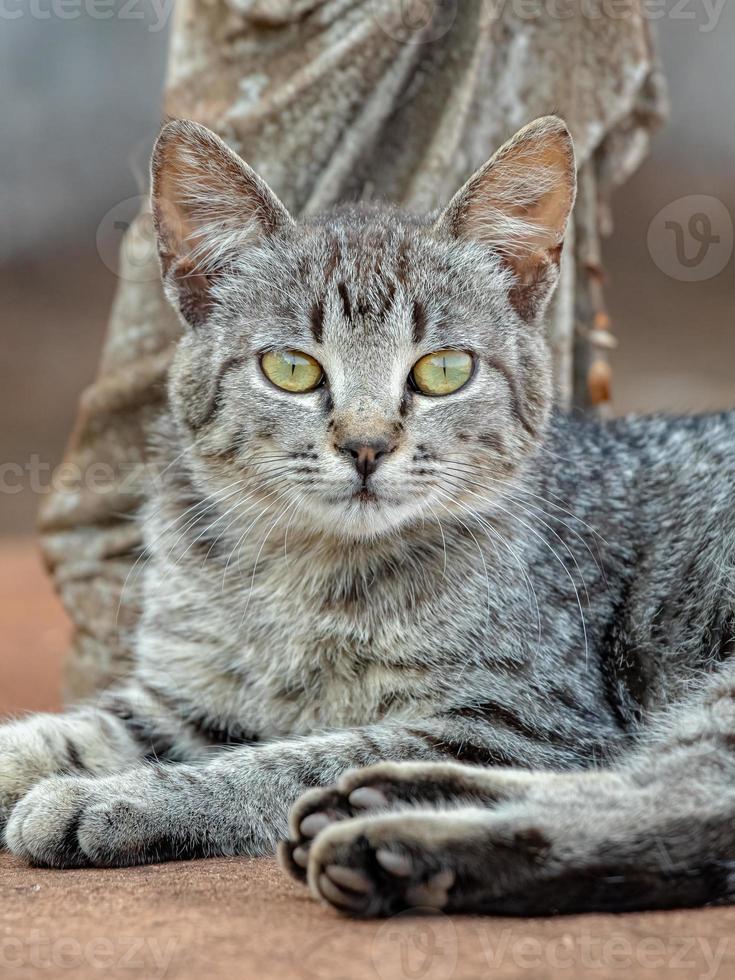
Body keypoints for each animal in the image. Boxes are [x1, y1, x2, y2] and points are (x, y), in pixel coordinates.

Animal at [1, 117, 735, 920]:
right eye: (291, 368)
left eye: (443, 370)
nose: (365, 445)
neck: (302, 570)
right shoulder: (188, 696)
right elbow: (81, 727)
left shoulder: (527, 720)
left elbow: (289, 759)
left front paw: (120, 798)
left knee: (686, 803)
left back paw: (397, 846)